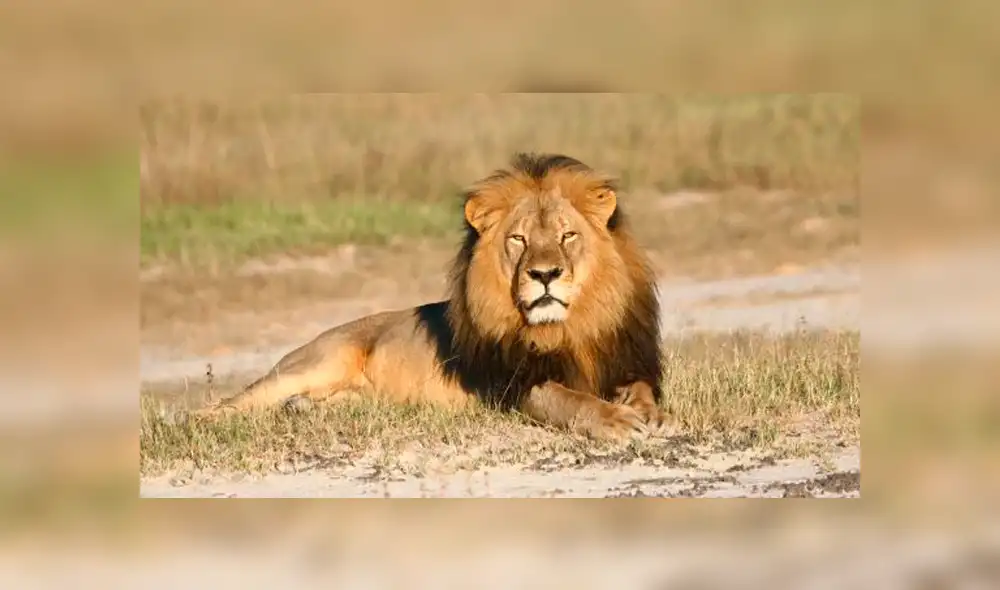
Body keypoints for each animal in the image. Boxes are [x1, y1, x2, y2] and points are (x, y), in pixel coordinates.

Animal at [193, 153, 672, 440]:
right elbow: (568, 399)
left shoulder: (627, 361)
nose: (545, 274)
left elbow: (642, 388)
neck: (569, 328)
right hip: (313, 363)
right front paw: (616, 421)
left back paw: (302, 410)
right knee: (233, 404)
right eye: (518, 240)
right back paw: (199, 424)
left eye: (566, 235)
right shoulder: (512, 386)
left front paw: (648, 413)